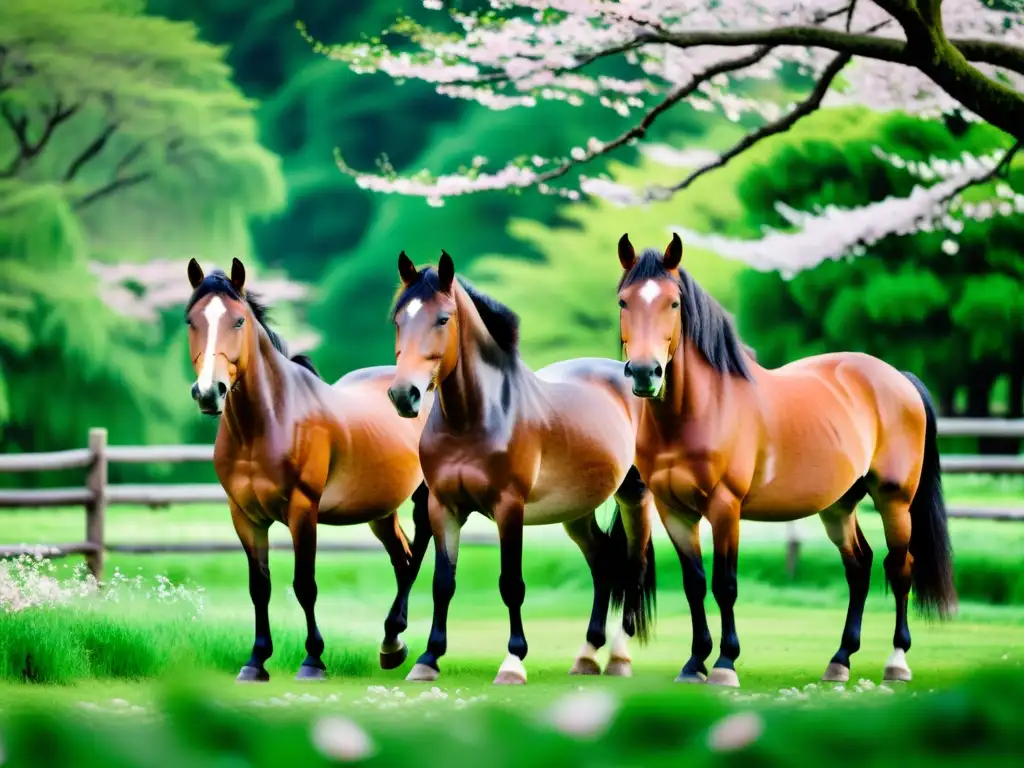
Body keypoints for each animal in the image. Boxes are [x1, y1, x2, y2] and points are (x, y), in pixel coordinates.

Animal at [186, 260, 430, 684]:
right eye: (191, 321)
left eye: (237, 321)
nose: (208, 391)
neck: (269, 422)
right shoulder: (244, 516)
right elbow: (259, 587)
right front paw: (256, 661)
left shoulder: (303, 510)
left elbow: (305, 585)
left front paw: (313, 660)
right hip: (380, 511)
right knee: (403, 559)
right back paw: (391, 646)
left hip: (427, 497)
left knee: (417, 554)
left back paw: (395, 637)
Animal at [385, 250, 655, 684]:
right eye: (398, 320)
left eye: (443, 319)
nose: (402, 395)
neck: (475, 419)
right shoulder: (443, 507)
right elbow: (443, 582)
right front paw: (428, 658)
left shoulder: (508, 507)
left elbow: (511, 583)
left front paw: (513, 661)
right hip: (577, 511)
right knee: (601, 562)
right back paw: (587, 654)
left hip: (634, 498)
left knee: (634, 567)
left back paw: (618, 656)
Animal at [610, 231, 954, 688]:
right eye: (624, 301)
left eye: (674, 303)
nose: (645, 373)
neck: (698, 412)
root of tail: (900, 378)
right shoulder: (674, 512)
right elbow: (694, 584)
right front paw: (695, 662)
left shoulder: (725, 508)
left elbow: (725, 584)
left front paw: (725, 663)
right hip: (839, 505)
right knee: (859, 566)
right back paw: (840, 659)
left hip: (894, 500)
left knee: (899, 567)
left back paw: (896, 661)